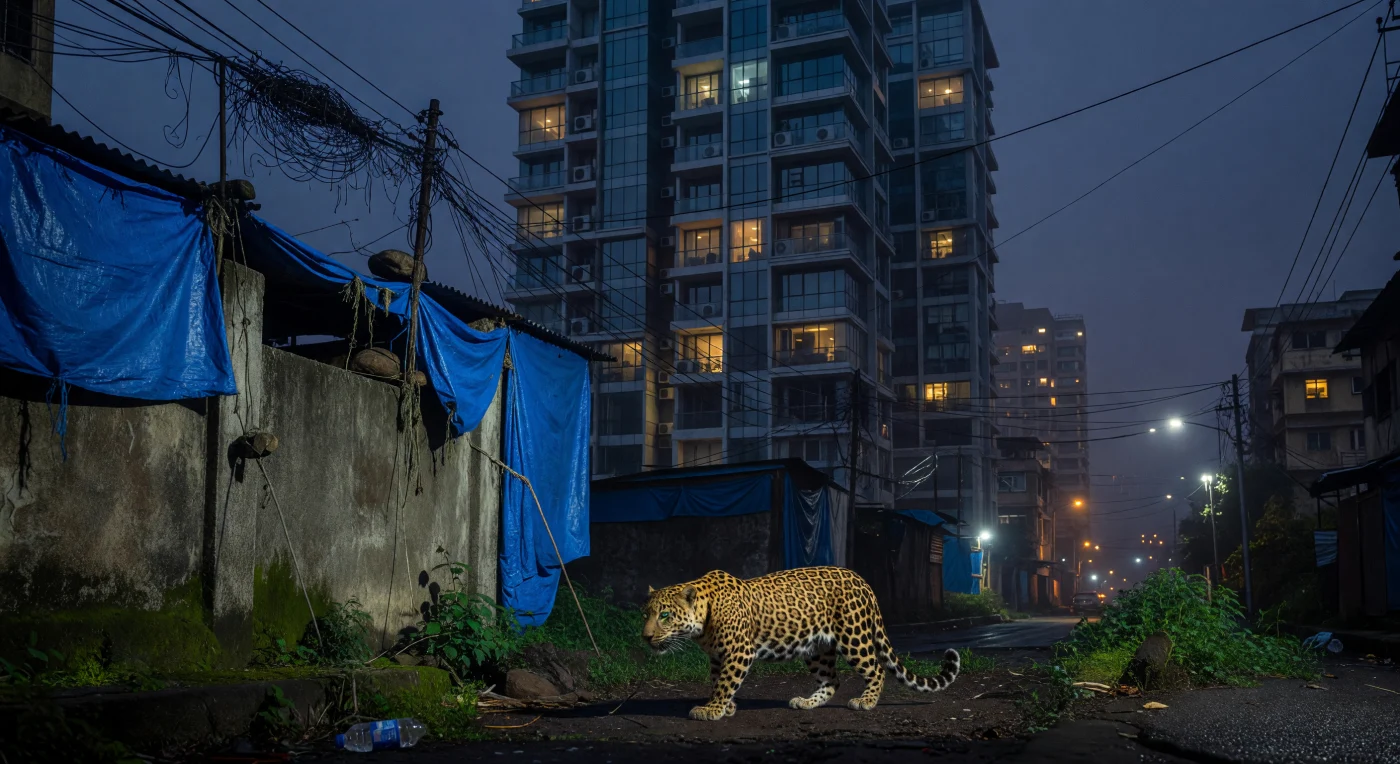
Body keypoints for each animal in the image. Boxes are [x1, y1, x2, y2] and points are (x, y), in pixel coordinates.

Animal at [641, 566, 960, 721]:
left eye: (665, 615)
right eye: (646, 614)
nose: (645, 636)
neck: (703, 618)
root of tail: (863, 580)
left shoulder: (739, 651)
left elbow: (725, 683)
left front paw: (711, 709)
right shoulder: (719, 657)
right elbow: (718, 680)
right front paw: (725, 706)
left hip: (853, 637)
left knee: (876, 669)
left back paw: (865, 701)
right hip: (817, 648)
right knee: (832, 680)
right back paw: (806, 702)